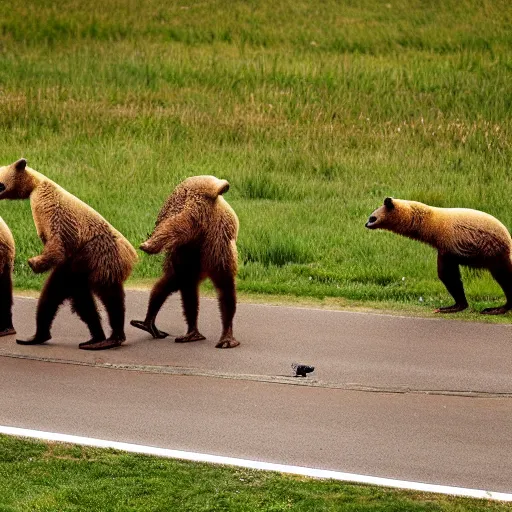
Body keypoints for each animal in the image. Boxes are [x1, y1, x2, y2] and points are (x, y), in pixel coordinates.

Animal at [0, 158, 138, 350]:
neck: (34, 185)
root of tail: (130, 254)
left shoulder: (47, 206)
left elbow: (56, 240)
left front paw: (34, 262)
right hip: (81, 265)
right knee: (64, 295)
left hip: (97, 257)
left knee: (106, 296)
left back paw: (110, 338)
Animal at [368, 197, 512, 314]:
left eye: (372, 218)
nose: (366, 224)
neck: (430, 225)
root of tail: (508, 238)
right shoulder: (445, 249)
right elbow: (448, 276)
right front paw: (456, 305)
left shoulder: (449, 242)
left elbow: (448, 275)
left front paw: (453, 306)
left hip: (493, 251)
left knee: (504, 276)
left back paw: (497, 309)